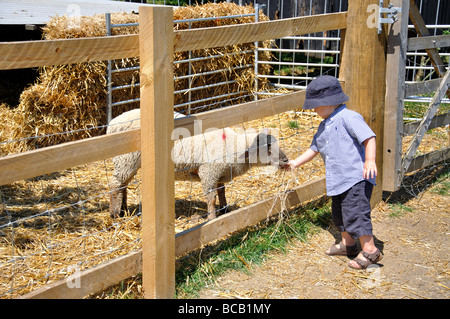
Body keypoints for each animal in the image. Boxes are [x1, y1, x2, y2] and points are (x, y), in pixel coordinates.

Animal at [106, 109, 288, 221]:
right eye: (268, 149)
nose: (286, 160)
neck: (235, 147)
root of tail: (113, 123)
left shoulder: (219, 174)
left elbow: (221, 192)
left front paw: (224, 210)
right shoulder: (208, 172)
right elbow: (211, 197)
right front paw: (212, 217)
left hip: (128, 162)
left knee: (122, 184)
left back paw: (123, 210)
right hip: (125, 159)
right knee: (115, 184)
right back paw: (115, 213)